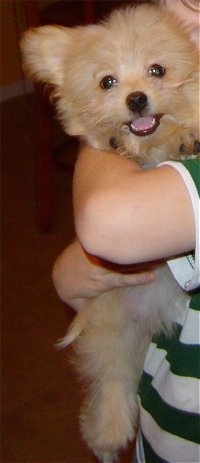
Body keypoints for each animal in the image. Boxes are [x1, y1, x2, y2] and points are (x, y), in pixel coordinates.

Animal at [21, 4, 199, 463]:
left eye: (157, 70)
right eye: (107, 82)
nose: (136, 99)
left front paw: (187, 134)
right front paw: (119, 140)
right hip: (112, 332)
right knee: (112, 384)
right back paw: (109, 433)